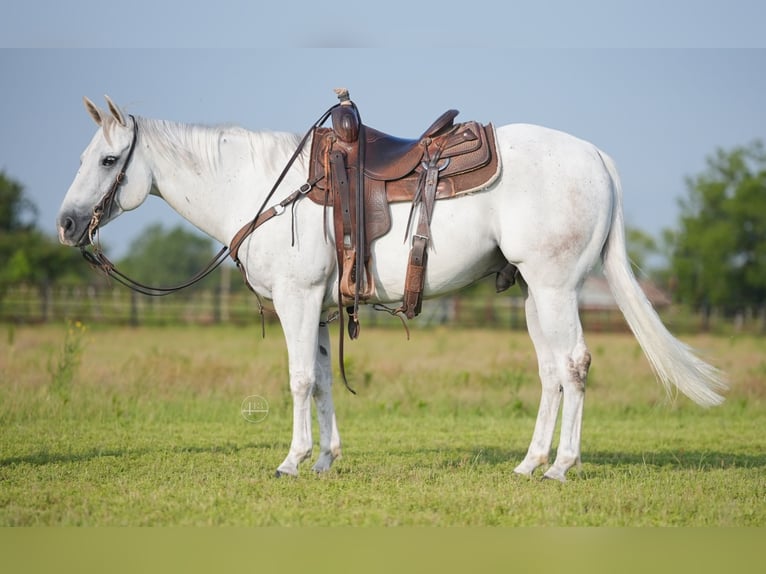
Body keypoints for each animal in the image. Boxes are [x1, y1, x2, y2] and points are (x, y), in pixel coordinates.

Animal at [58, 97, 728, 484]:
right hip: (537, 295)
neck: (262, 187)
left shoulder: (298, 301)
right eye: (85, 154)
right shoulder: (321, 310)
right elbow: (323, 381)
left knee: (575, 364)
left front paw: (292, 461)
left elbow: (297, 380)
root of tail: (595, 156)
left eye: (109, 159)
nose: (66, 224)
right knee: (551, 372)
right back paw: (530, 462)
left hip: (557, 287)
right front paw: (325, 459)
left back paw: (562, 467)